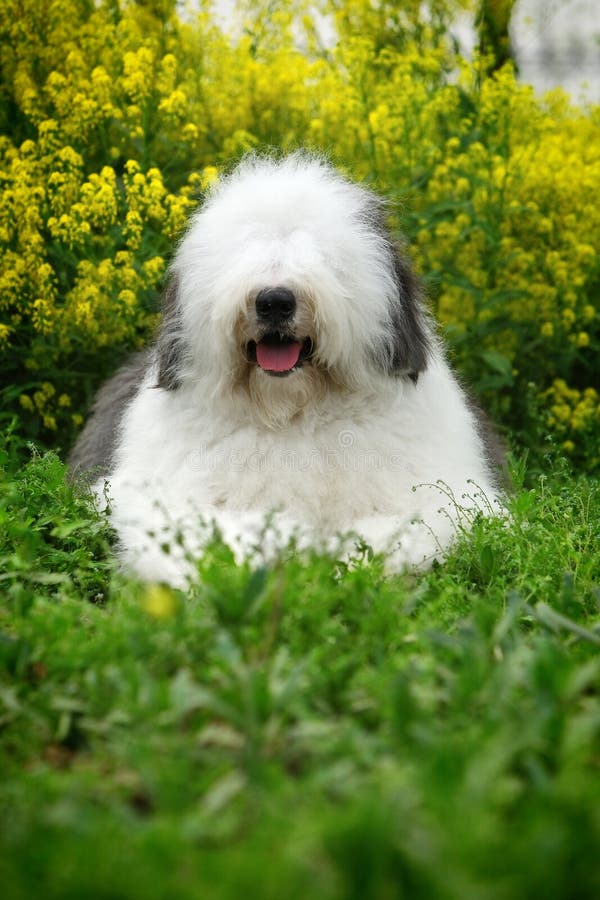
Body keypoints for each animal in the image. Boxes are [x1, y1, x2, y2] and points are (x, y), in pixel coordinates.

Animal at [69, 151, 506, 588]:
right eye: (243, 254)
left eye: (324, 258)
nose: (275, 301)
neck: (291, 411)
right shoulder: (150, 498)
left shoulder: (448, 498)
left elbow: (398, 532)